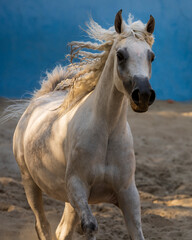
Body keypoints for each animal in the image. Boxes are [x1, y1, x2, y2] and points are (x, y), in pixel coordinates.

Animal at [12, 9, 156, 240]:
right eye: (120, 55)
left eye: (151, 56)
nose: (142, 95)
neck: (106, 132)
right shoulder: (77, 186)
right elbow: (90, 226)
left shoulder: (128, 194)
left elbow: (137, 232)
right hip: (30, 183)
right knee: (43, 226)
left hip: (68, 200)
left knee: (62, 230)